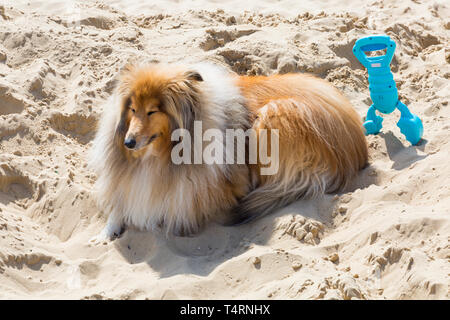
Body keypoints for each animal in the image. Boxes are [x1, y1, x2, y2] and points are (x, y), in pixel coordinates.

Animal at [89, 62, 370, 240]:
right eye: (132, 109)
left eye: (152, 111)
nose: (128, 143)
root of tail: (355, 146)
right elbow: (124, 199)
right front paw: (107, 231)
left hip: (273, 116)